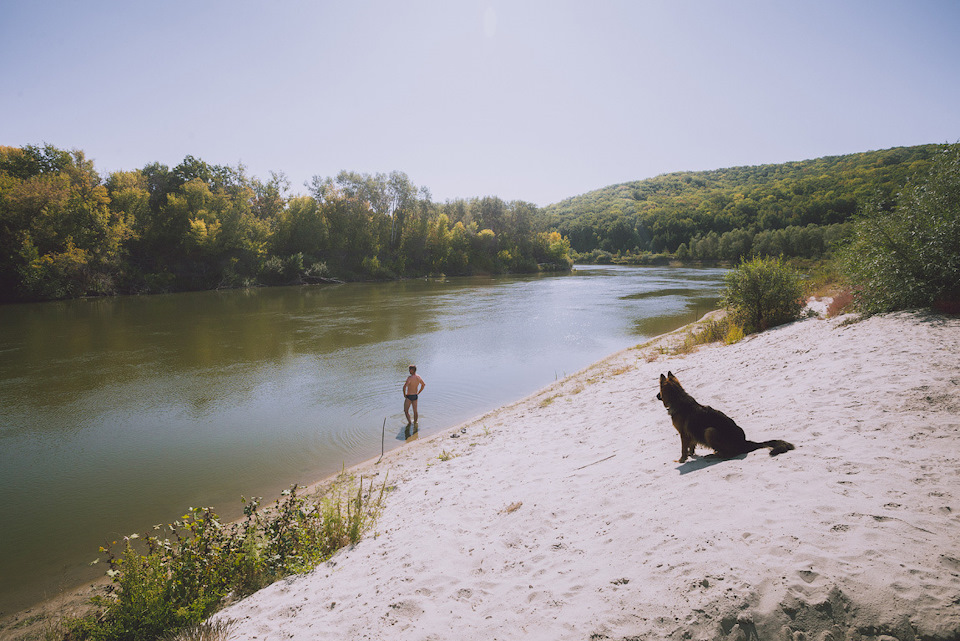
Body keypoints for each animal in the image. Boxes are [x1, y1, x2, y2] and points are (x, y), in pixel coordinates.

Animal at [652, 372, 796, 462]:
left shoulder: (683, 434)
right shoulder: (690, 433)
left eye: (659, 391)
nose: (656, 396)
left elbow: (683, 448)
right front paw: (690, 454)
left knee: (729, 454)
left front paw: (681, 460)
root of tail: (744, 442)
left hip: (710, 431)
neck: (678, 399)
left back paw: (715, 455)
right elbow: (691, 445)